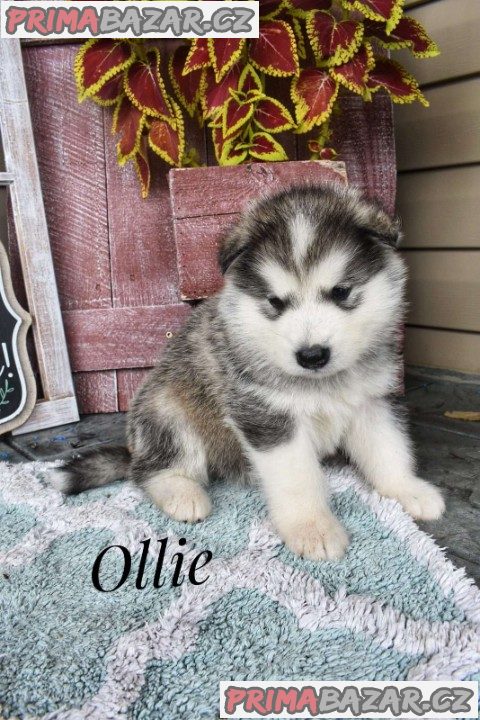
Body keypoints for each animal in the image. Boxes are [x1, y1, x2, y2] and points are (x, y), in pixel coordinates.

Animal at [58, 184, 444, 564]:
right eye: (275, 302)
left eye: (341, 291)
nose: (312, 355)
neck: (321, 384)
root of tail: (134, 449)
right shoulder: (267, 417)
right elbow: (298, 478)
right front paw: (312, 527)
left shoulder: (372, 401)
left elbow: (387, 449)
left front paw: (407, 489)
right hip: (166, 411)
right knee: (152, 469)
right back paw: (182, 494)